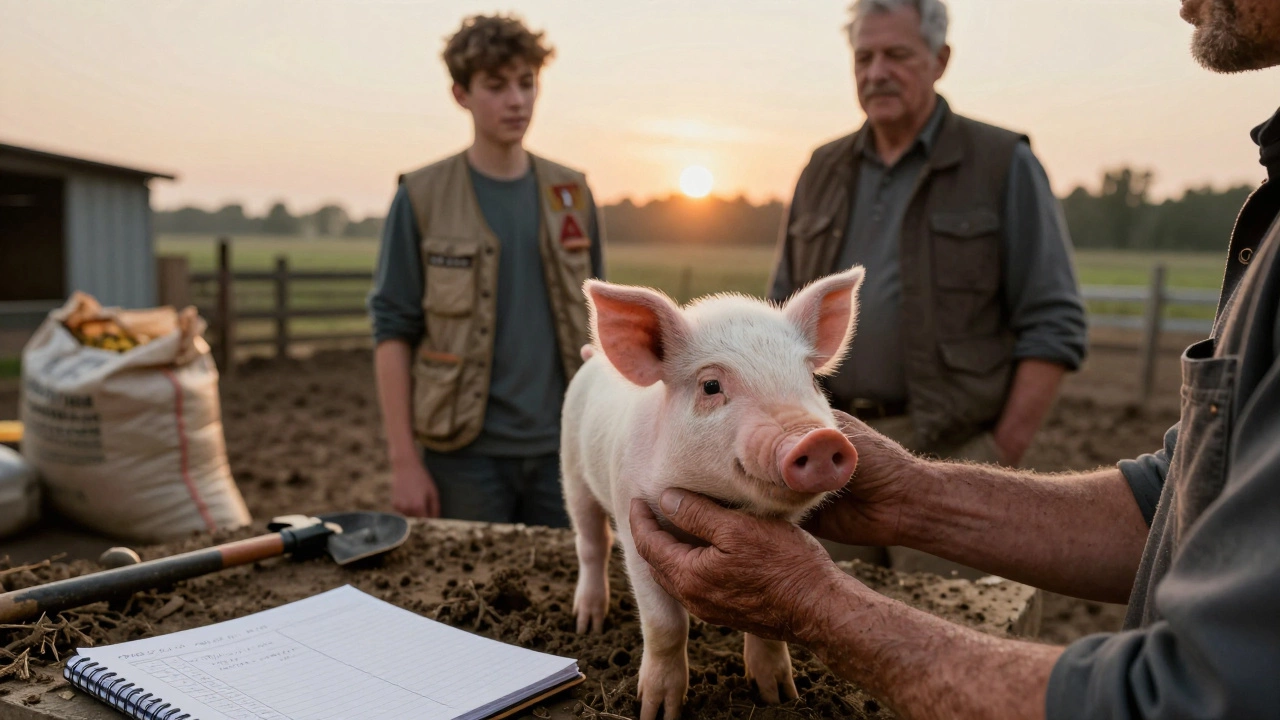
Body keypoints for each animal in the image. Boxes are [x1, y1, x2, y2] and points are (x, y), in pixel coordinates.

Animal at [560, 266, 865, 720]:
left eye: (810, 379)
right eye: (710, 385)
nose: (819, 439)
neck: (712, 493)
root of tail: (592, 357)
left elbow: (769, 624)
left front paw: (779, 697)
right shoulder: (635, 521)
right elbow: (665, 624)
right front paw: (655, 711)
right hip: (572, 469)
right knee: (591, 543)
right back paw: (587, 624)